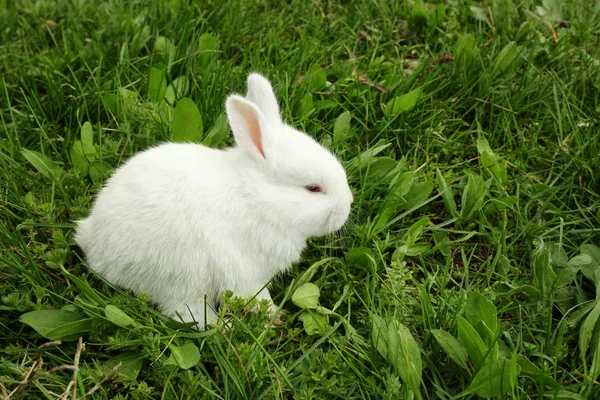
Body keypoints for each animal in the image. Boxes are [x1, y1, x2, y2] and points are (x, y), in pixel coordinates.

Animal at [77, 72, 354, 328]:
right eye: (313, 188)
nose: (348, 205)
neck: (257, 199)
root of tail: (93, 243)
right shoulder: (245, 271)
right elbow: (256, 297)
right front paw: (274, 316)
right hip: (182, 276)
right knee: (186, 312)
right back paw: (222, 327)